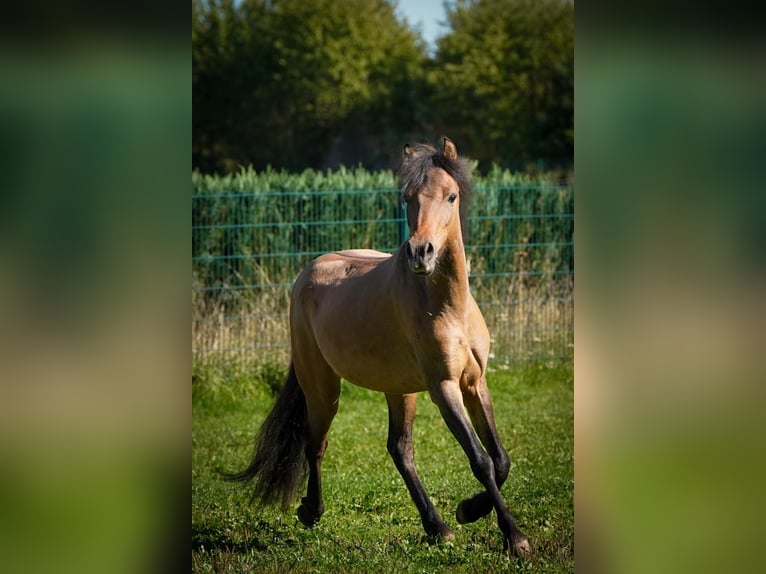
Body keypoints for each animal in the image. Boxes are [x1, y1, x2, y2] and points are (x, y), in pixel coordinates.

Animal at [227, 137, 531, 555]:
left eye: (451, 196)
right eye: (407, 197)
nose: (420, 252)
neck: (446, 305)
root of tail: (309, 271)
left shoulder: (474, 383)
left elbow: (500, 460)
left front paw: (469, 511)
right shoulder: (444, 388)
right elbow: (481, 460)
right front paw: (513, 536)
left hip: (399, 389)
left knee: (400, 449)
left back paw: (437, 527)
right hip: (323, 389)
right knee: (315, 443)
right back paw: (311, 511)